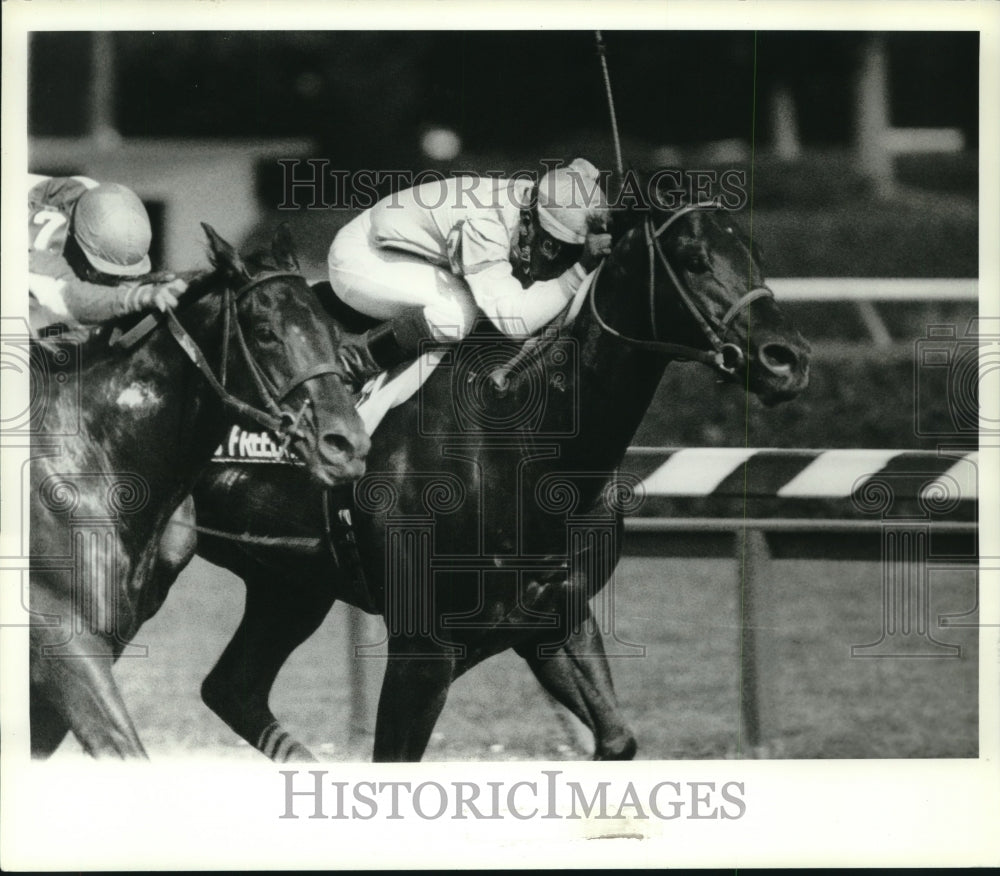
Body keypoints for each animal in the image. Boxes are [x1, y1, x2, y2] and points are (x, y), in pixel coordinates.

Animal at [188, 202, 808, 764]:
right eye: (693, 259)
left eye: (756, 254)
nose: (788, 358)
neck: (519, 442)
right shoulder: (423, 650)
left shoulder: (556, 621)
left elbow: (616, 740)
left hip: (289, 585)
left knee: (231, 688)